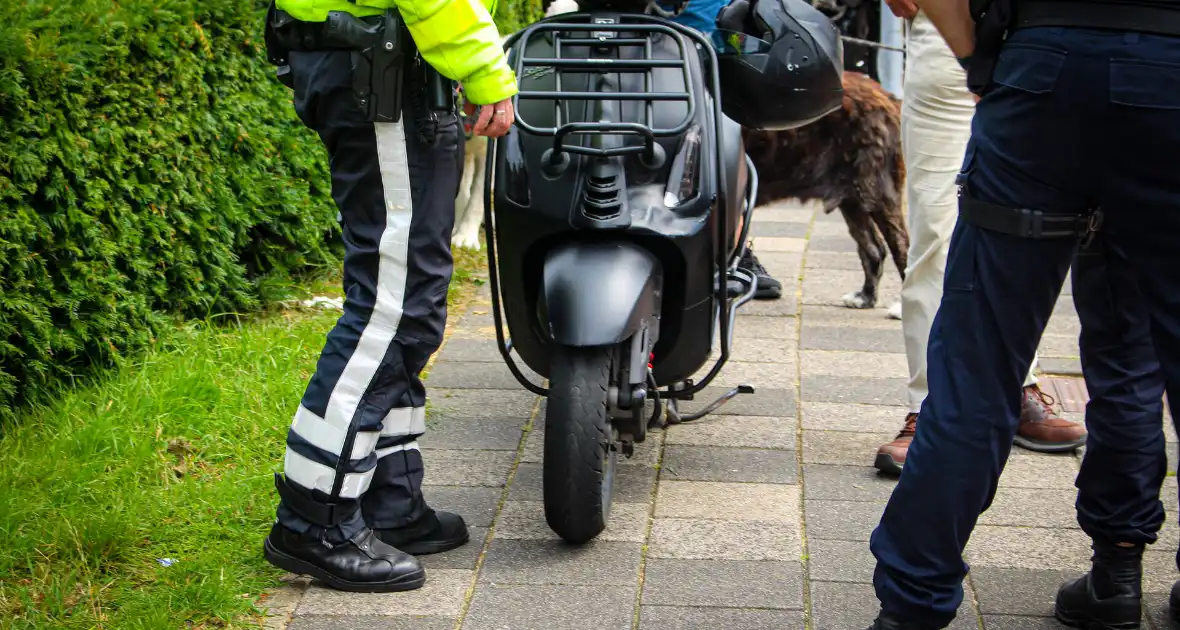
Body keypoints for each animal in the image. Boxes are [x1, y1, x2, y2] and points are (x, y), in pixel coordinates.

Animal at [741, 71, 906, 311]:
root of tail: (886, 96)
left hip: (877, 192)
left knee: (902, 246)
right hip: (852, 200)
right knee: (874, 248)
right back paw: (865, 296)